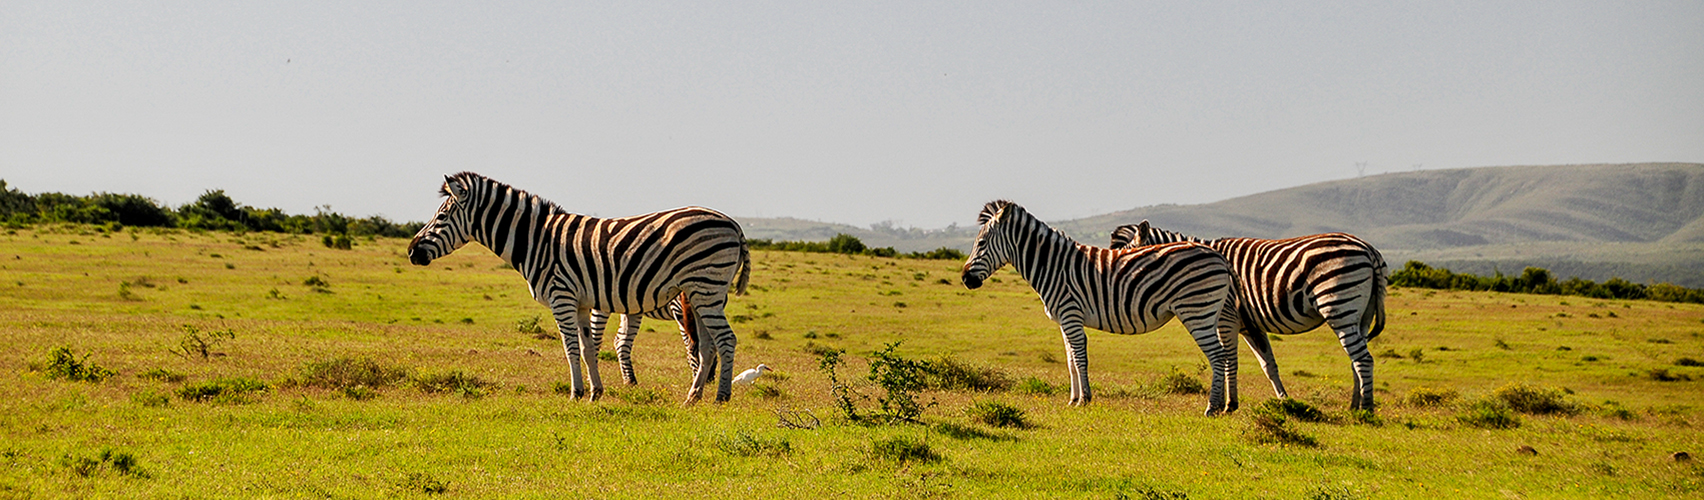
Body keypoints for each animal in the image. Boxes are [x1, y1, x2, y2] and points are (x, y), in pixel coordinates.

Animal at [405, 171, 753, 401]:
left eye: (442, 217)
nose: (411, 252)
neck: (536, 241)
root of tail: (733, 223)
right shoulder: (584, 302)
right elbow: (588, 348)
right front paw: (595, 392)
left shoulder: (562, 297)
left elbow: (571, 347)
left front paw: (575, 393)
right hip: (700, 293)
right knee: (707, 345)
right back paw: (693, 397)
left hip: (705, 288)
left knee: (725, 340)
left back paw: (721, 397)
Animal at [961, 198, 1240, 412]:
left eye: (981, 243)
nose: (965, 279)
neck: (1052, 265)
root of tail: (1219, 256)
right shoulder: (1064, 320)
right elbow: (1069, 359)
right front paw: (1073, 399)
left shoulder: (1071, 314)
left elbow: (1080, 358)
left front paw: (1084, 399)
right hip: (1209, 313)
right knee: (1223, 354)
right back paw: (1221, 405)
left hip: (1196, 311)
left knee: (1217, 355)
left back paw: (1212, 407)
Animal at [1111, 220, 1390, 411]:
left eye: (1133, 260)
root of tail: (1368, 249)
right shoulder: (1250, 326)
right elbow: (1269, 366)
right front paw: (1284, 401)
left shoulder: (1226, 318)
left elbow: (1228, 360)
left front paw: (1228, 405)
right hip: (1361, 315)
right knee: (1356, 359)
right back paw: (1355, 404)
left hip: (1339, 305)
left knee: (1363, 359)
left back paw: (1366, 409)